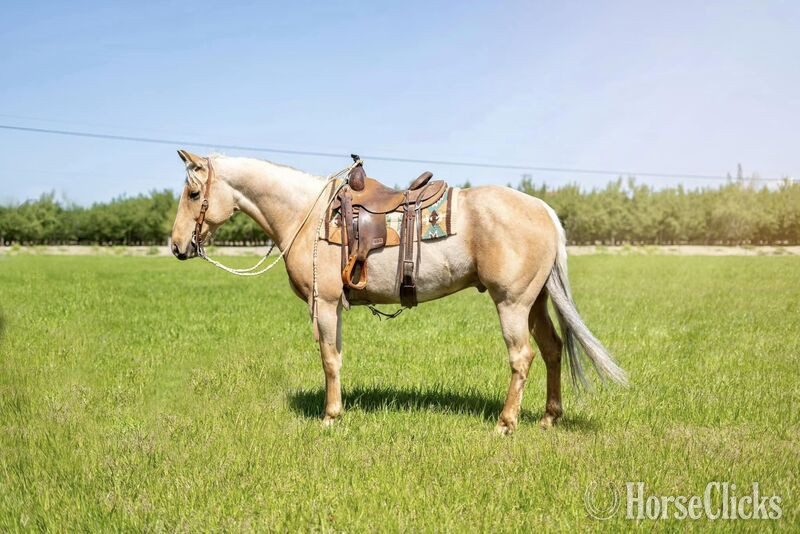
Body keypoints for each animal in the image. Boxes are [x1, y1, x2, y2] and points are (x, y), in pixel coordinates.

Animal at [169, 150, 627, 433]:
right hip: (535, 302)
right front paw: (338, 411)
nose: (176, 246)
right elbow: (336, 358)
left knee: (522, 357)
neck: (306, 215)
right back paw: (549, 418)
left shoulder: (327, 305)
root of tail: (543, 209)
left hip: (512, 303)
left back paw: (505, 423)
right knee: (552, 349)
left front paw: (330, 417)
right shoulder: (336, 307)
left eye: (194, 193)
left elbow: (328, 360)